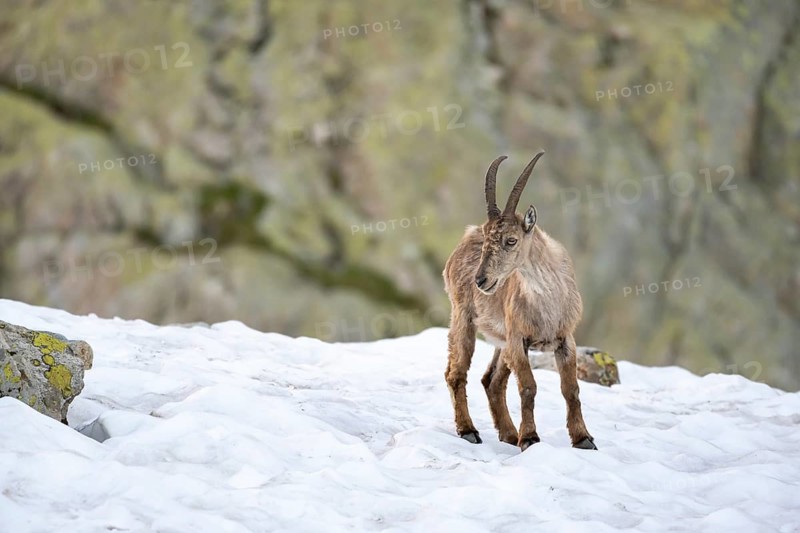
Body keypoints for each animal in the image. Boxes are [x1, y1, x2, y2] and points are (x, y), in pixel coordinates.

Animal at [443, 152, 596, 451]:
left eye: (511, 240)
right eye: (489, 239)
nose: (481, 280)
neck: (548, 302)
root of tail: (462, 243)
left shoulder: (565, 339)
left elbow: (571, 389)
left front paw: (584, 438)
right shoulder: (519, 340)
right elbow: (528, 387)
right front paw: (531, 438)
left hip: (501, 341)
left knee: (491, 380)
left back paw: (509, 434)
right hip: (464, 318)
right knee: (456, 373)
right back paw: (469, 430)